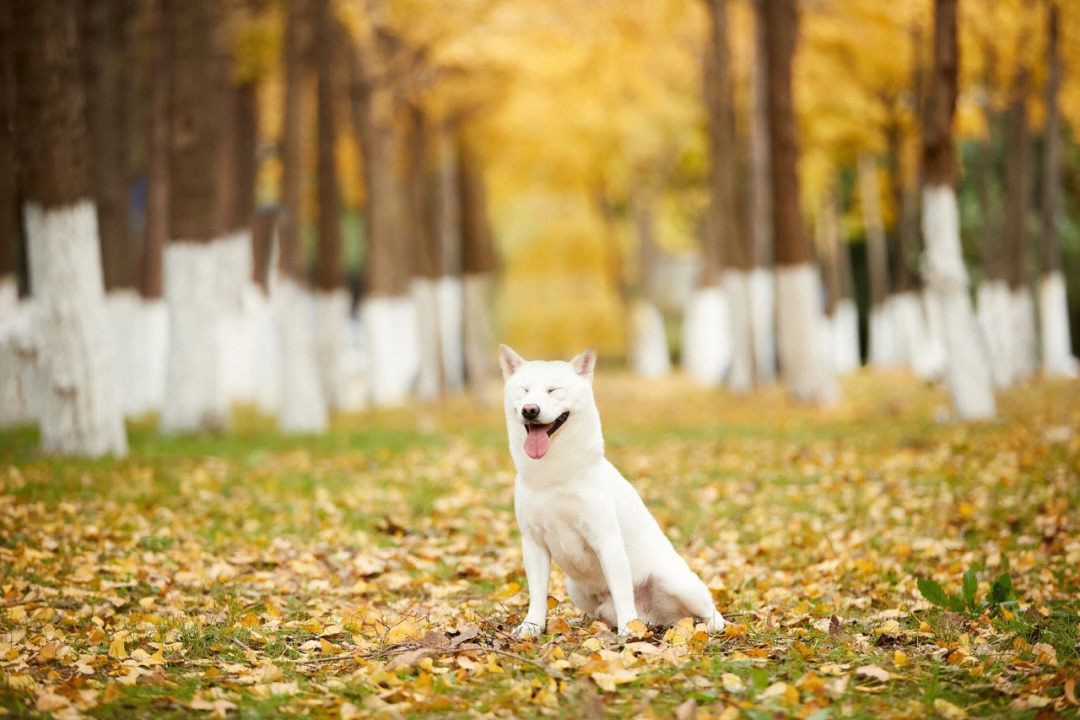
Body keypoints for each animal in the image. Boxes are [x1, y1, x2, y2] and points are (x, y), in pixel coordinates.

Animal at [498, 345, 725, 639]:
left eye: (553, 390)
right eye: (524, 390)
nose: (530, 410)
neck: (555, 476)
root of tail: (659, 616)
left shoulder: (606, 539)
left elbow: (621, 591)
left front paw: (629, 632)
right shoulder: (533, 543)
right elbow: (537, 595)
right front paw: (531, 627)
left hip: (676, 582)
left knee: (710, 609)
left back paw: (708, 625)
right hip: (578, 591)